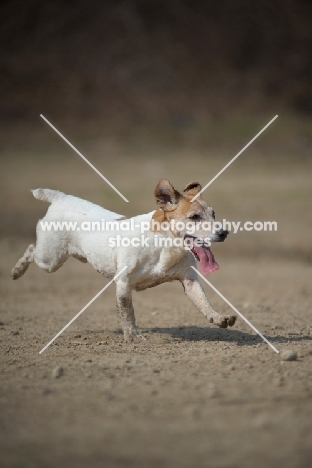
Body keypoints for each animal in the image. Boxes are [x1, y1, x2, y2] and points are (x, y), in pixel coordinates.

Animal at [12, 180, 236, 340]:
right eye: (194, 217)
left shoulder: (189, 280)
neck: (164, 245)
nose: (224, 232)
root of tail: (61, 199)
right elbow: (128, 313)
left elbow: (204, 303)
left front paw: (219, 318)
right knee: (31, 250)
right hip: (50, 259)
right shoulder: (123, 284)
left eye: (213, 214)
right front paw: (133, 336)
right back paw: (17, 270)